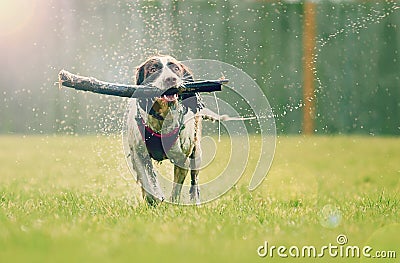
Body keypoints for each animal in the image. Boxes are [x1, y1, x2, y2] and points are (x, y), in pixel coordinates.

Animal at [126, 54, 223, 205]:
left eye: (176, 68)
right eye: (153, 69)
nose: (170, 79)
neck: (161, 118)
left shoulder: (182, 159)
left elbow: (176, 189)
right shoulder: (138, 155)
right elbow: (147, 183)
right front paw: (154, 199)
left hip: (197, 153)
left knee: (194, 181)